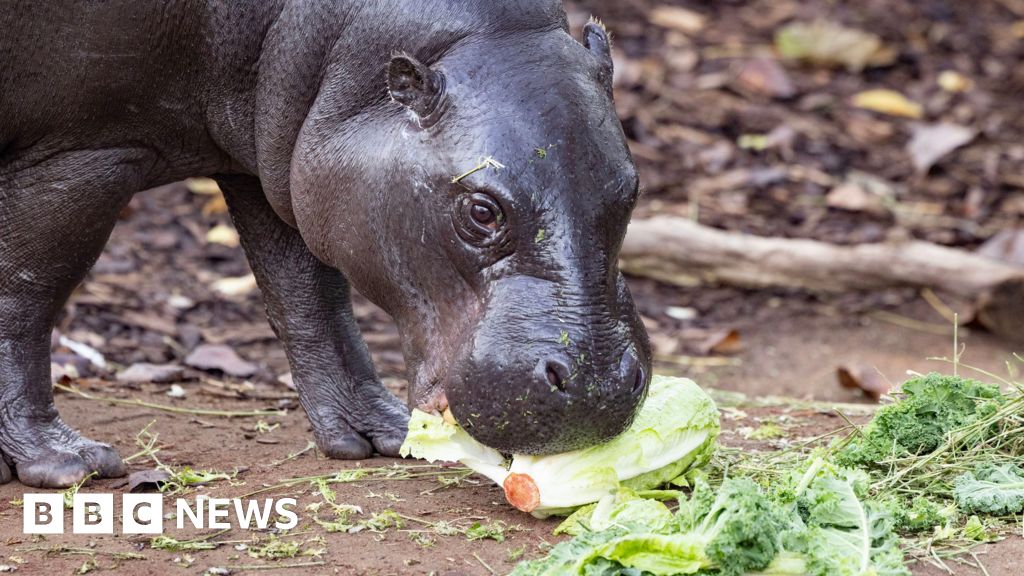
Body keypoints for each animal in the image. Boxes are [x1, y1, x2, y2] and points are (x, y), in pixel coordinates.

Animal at [0, 0, 651, 485]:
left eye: (632, 190)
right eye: (482, 211)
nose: (596, 386)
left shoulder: (276, 157)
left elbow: (309, 297)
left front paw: (378, 435)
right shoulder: (85, 151)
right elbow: (26, 294)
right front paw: (64, 463)